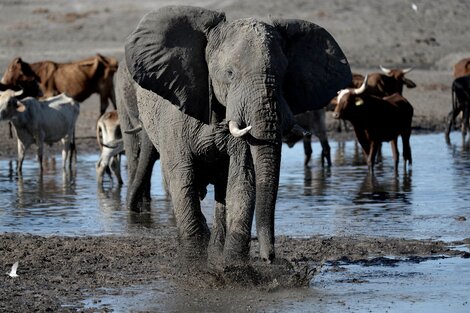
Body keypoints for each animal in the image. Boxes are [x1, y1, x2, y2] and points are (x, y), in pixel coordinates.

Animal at [116, 5, 352, 266]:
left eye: (283, 76)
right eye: (230, 73)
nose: (270, 257)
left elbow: (242, 178)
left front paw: (233, 266)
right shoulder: (175, 116)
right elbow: (183, 176)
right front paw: (194, 263)